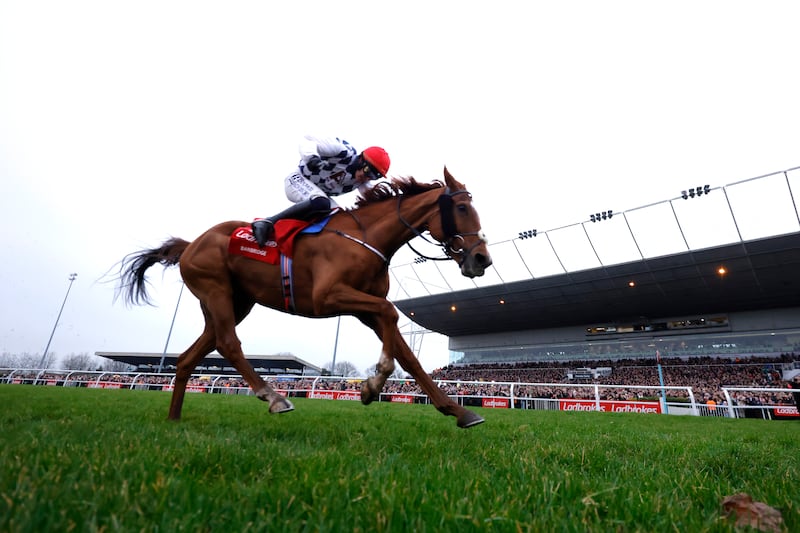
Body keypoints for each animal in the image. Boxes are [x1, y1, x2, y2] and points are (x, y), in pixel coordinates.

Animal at [117, 166, 494, 428]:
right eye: (462, 208)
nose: (482, 259)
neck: (366, 237)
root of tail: (191, 244)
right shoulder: (329, 296)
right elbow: (391, 313)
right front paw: (373, 384)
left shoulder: (364, 308)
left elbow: (408, 356)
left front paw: (458, 411)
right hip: (217, 290)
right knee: (228, 343)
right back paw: (273, 396)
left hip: (235, 301)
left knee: (188, 357)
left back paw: (174, 419)